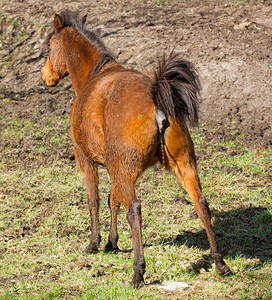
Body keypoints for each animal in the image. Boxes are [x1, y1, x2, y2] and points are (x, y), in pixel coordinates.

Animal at [41, 11, 231, 288]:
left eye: (50, 45)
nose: (45, 75)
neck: (93, 76)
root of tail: (157, 97)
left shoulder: (86, 160)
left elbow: (95, 200)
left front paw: (95, 243)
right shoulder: (114, 170)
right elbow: (113, 200)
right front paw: (111, 242)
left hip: (125, 171)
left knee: (135, 209)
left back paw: (138, 272)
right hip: (182, 164)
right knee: (202, 205)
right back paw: (219, 263)